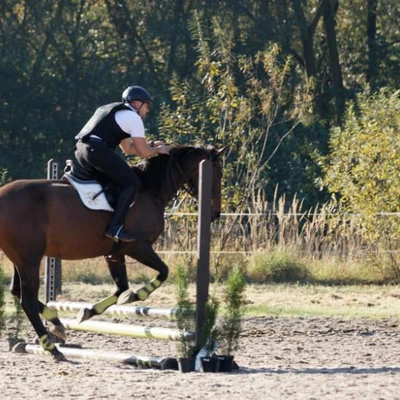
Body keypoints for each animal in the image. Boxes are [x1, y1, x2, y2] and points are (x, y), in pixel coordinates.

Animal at [0, 145, 225, 360]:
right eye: (217, 174)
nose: (215, 214)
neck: (150, 189)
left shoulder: (115, 253)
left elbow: (121, 288)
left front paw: (88, 312)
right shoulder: (138, 246)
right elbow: (163, 272)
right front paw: (138, 294)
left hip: (20, 258)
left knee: (18, 292)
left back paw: (57, 324)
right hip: (29, 258)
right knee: (27, 300)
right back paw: (53, 348)